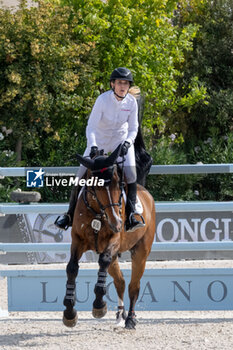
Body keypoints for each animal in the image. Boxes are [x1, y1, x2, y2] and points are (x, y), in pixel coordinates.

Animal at [62, 144, 156, 330]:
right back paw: (121, 315)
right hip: (114, 255)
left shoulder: (113, 240)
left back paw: (130, 319)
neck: (97, 213)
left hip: (140, 252)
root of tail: (145, 193)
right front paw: (69, 313)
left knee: (133, 286)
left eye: (118, 183)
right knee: (120, 282)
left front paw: (99, 306)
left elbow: (103, 262)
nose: (117, 222)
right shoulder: (77, 241)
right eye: (95, 186)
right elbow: (72, 268)